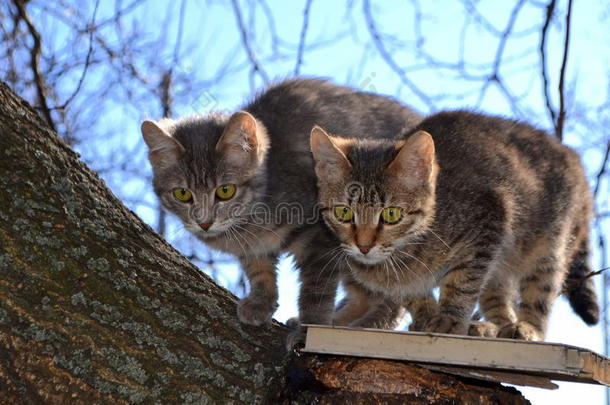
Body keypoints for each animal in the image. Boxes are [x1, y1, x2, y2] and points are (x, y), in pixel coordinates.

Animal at [140, 78, 420, 338]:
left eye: (225, 191)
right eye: (183, 194)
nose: (204, 223)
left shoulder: (320, 237)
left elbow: (316, 290)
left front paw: (311, 327)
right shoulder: (253, 248)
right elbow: (258, 269)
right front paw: (260, 302)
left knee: (390, 298)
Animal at [312, 109, 596, 338]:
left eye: (391, 214)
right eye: (344, 213)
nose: (364, 246)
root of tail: (571, 155)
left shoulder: (488, 221)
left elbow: (462, 282)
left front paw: (448, 318)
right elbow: (413, 294)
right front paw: (426, 316)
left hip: (548, 244)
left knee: (539, 291)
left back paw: (527, 327)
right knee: (496, 293)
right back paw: (492, 326)